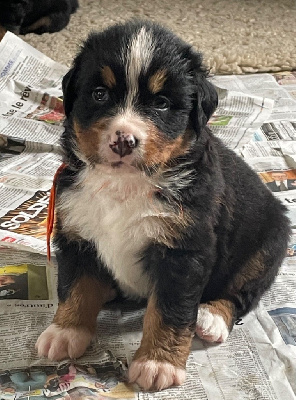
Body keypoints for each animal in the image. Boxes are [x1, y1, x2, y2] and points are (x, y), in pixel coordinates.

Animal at [35, 20, 290, 390]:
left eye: (162, 103)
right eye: (99, 95)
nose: (123, 140)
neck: (125, 184)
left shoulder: (183, 251)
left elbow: (169, 311)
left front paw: (158, 362)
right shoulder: (77, 233)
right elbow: (76, 287)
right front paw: (65, 331)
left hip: (267, 245)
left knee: (243, 293)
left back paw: (211, 317)